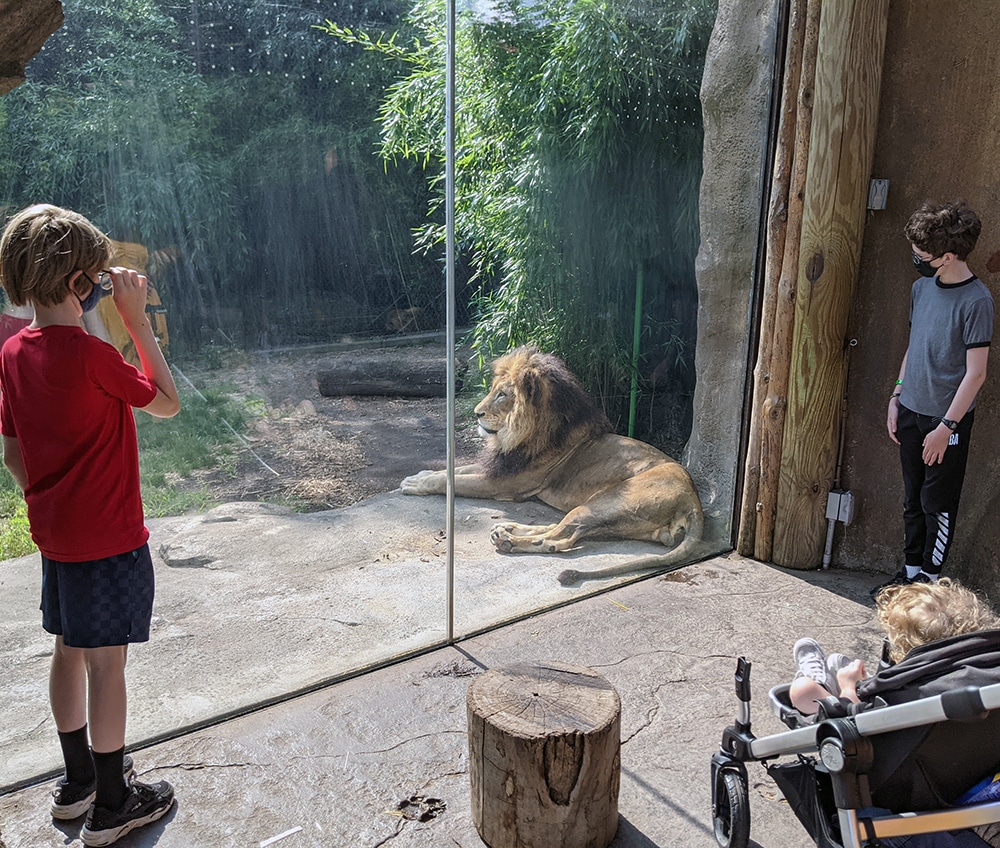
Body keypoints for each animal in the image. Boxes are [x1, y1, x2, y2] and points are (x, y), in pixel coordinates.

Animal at [400, 345, 704, 584]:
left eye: (502, 395)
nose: (476, 413)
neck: (521, 435)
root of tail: (694, 502)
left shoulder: (503, 483)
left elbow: (451, 480)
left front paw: (414, 483)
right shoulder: (500, 467)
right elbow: (453, 471)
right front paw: (420, 474)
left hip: (604, 502)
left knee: (559, 539)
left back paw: (509, 541)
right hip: (613, 518)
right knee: (562, 528)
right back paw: (507, 529)